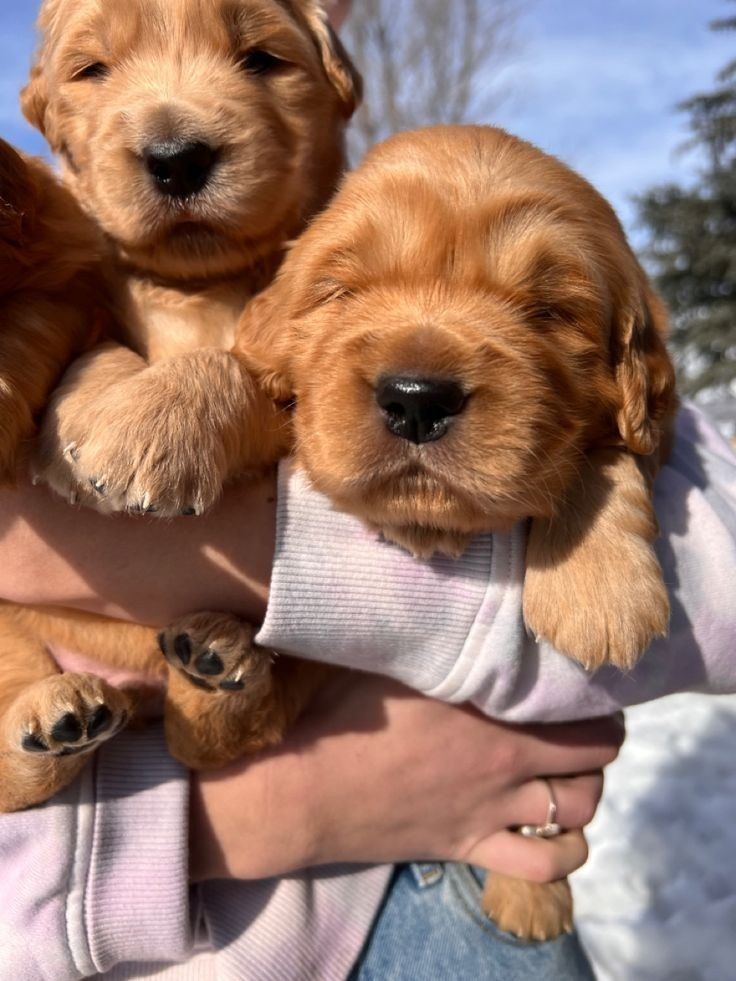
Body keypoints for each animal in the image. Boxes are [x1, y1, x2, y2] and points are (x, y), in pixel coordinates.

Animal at [0, 0, 360, 812]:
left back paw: (213, 665)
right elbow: (96, 350)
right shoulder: (91, 294)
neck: (196, 284)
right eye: (92, 70)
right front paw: (84, 428)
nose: (177, 158)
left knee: (216, 737)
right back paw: (53, 711)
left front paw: (145, 429)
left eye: (263, 59)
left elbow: (232, 370)